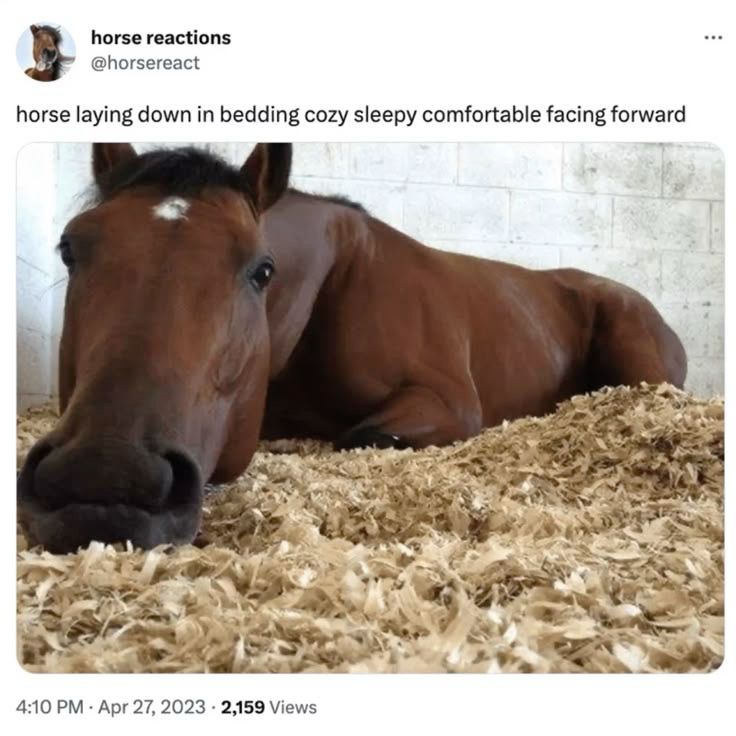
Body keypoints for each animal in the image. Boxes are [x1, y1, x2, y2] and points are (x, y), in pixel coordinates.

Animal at [17, 143, 687, 553]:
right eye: (70, 248)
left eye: (261, 270)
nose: (103, 476)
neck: (332, 285)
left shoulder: (445, 404)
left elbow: (357, 436)